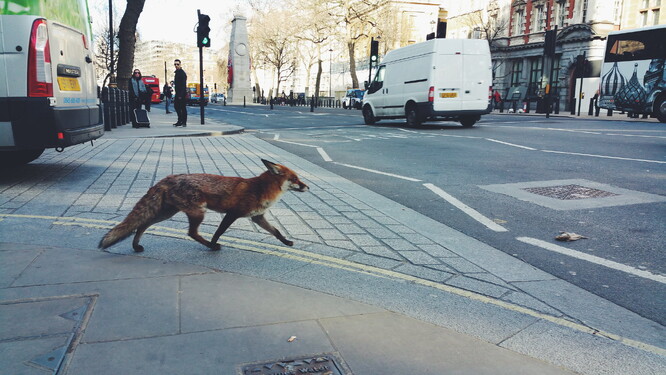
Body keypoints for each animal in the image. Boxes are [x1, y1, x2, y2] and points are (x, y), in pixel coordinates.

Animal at [98, 159, 308, 253]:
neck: (261, 189)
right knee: (192, 233)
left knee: (142, 224)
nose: (308, 187)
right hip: (198, 213)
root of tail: (168, 178)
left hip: (167, 213)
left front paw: (287, 242)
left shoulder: (258, 217)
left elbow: (277, 231)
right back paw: (210, 246)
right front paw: (214, 243)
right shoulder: (232, 214)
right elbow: (219, 232)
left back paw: (136, 246)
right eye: (295, 179)